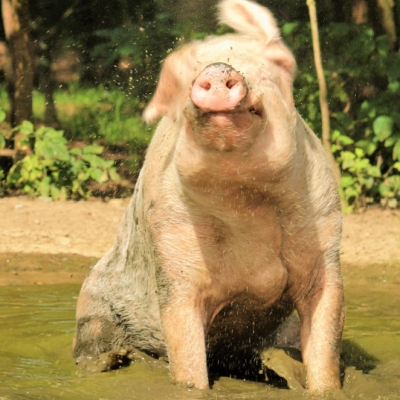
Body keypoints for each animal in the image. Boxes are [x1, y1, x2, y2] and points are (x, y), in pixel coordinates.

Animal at [73, 0, 346, 394]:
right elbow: (185, 348)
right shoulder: (173, 248)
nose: (217, 69)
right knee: (94, 346)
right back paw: (115, 358)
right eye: (189, 78)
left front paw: (323, 388)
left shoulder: (324, 236)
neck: (246, 200)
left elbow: (326, 335)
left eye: (265, 72)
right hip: (92, 308)